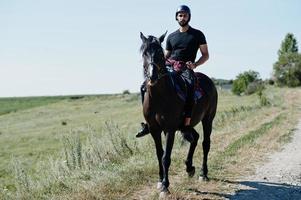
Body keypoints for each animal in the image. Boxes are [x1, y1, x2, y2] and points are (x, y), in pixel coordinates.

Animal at [139, 31, 217, 195]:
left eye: (160, 54)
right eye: (144, 53)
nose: (152, 76)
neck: (160, 97)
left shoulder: (170, 129)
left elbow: (166, 157)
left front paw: (165, 186)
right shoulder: (155, 129)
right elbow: (159, 154)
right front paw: (160, 180)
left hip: (208, 119)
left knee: (205, 143)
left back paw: (203, 174)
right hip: (186, 125)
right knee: (195, 138)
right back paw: (189, 167)